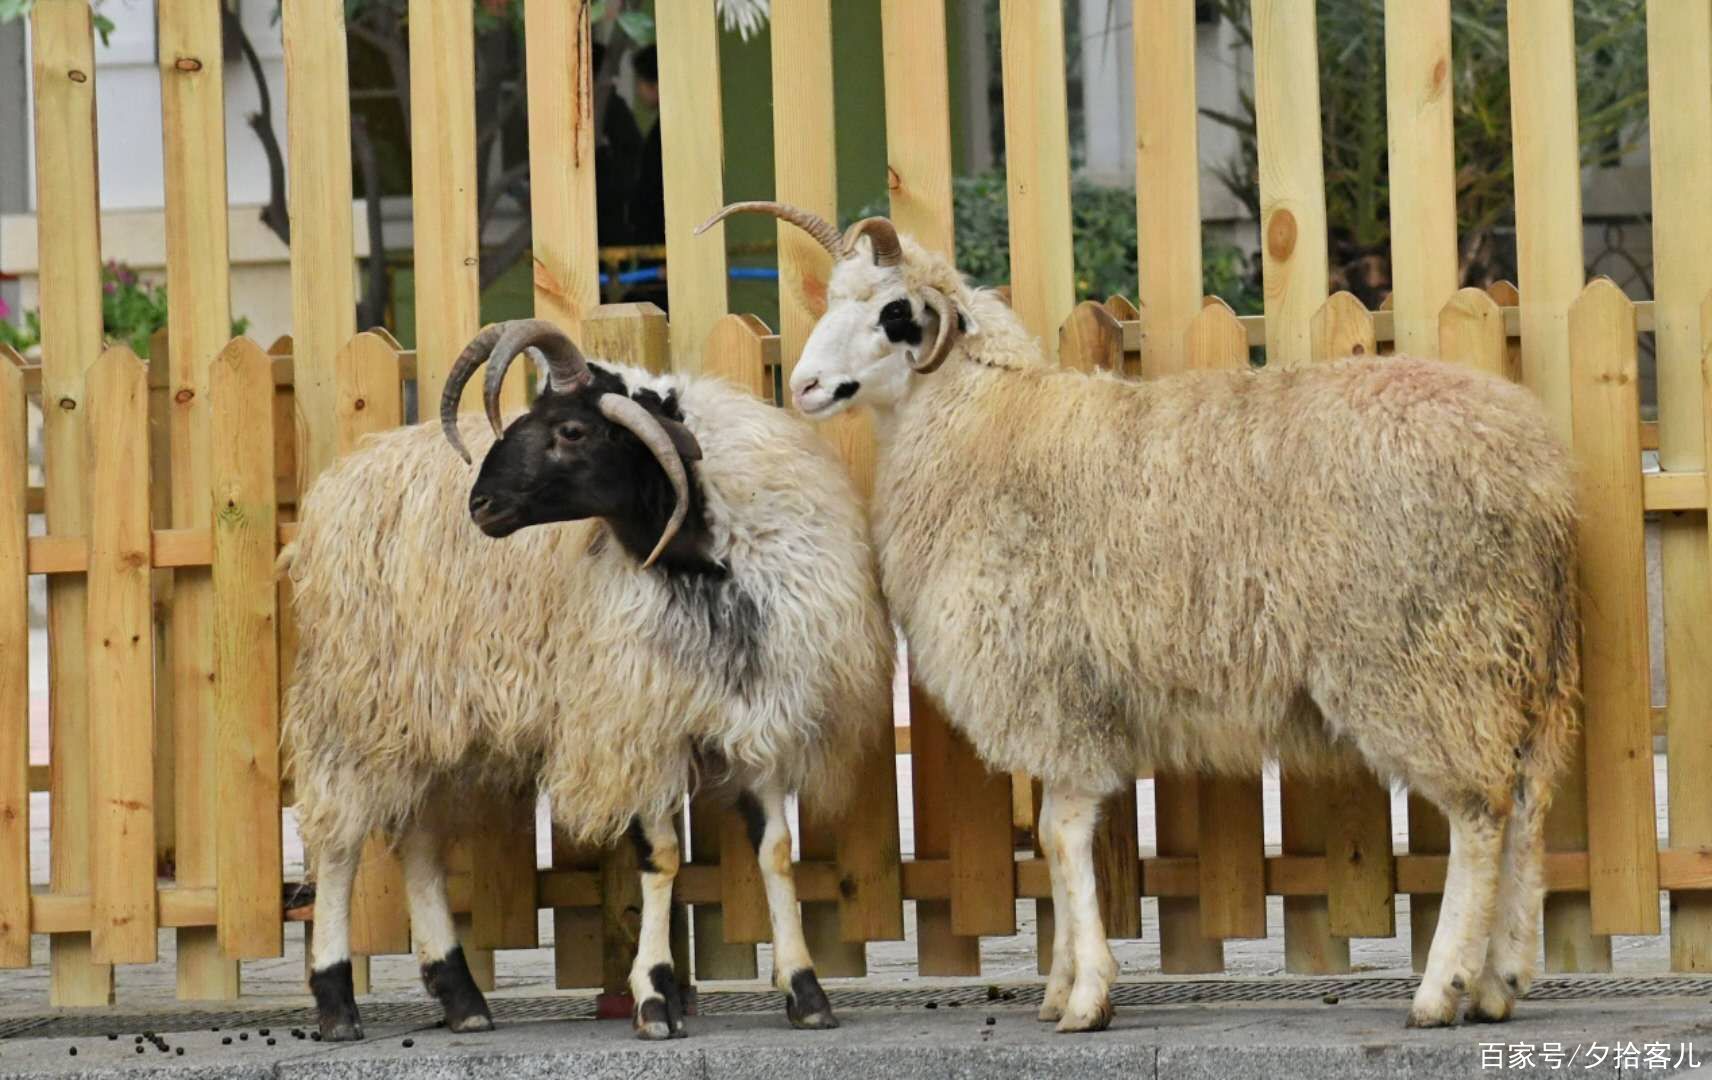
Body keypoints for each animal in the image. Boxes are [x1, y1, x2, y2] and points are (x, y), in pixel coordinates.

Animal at [277, 318, 897, 1040]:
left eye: (571, 430)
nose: (479, 504)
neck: (697, 558)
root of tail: (342, 479)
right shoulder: (632, 720)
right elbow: (661, 856)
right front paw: (654, 997)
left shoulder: (756, 709)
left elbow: (774, 850)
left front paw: (806, 990)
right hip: (359, 703)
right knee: (339, 841)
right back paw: (337, 1001)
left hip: (429, 718)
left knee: (419, 842)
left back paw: (462, 996)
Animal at [705, 204, 1575, 1040]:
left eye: (893, 313)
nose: (806, 386)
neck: (983, 425)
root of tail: (1539, 470)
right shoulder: (1066, 693)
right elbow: (1052, 838)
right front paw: (1060, 988)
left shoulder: (1048, 687)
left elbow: (1061, 836)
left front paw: (1086, 995)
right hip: (1518, 663)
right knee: (1528, 801)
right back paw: (1502, 981)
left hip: (1427, 659)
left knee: (1479, 814)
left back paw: (1442, 989)